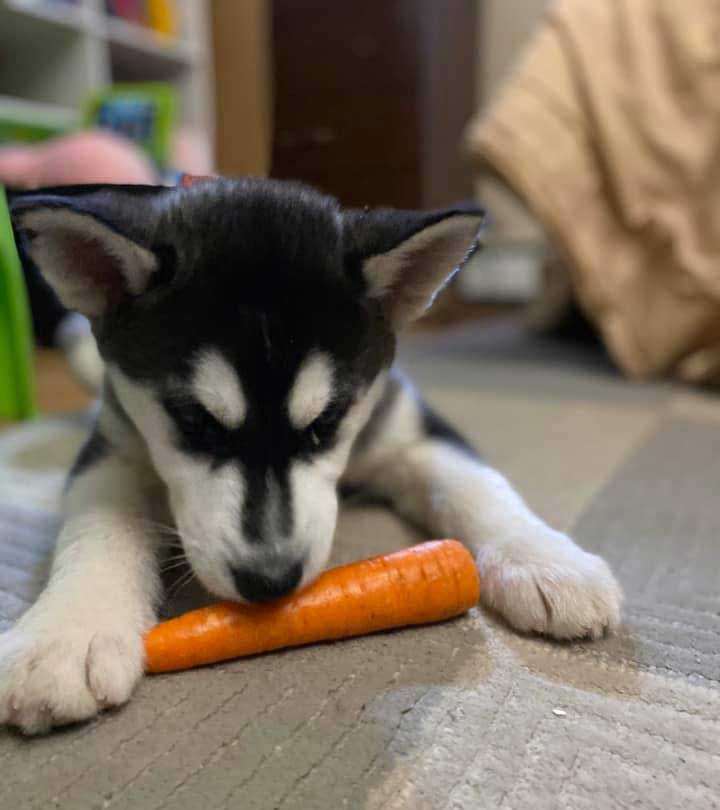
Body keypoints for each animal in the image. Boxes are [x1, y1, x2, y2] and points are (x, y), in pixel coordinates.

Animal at [0, 178, 620, 732]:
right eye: (196, 423)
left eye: (327, 423)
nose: (270, 581)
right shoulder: (115, 447)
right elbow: (98, 525)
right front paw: (67, 631)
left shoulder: (407, 423)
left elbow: (479, 484)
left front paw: (546, 558)